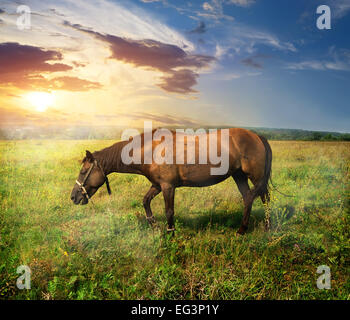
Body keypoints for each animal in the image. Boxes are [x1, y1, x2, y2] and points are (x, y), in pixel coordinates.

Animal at [71, 127, 272, 235]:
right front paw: (154, 225)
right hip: (239, 175)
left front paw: (170, 233)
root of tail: (257, 136)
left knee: (262, 198)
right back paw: (246, 228)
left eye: (83, 171)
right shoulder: (157, 185)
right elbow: (145, 201)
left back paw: (261, 228)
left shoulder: (168, 187)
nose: (73, 197)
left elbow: (169, 211)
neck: (150, 149)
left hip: (254, 176)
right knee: (249, 198)